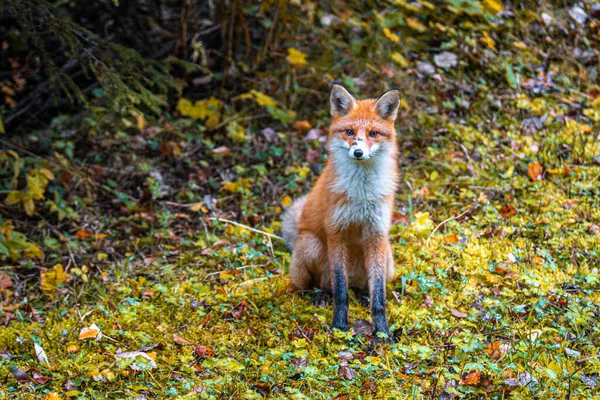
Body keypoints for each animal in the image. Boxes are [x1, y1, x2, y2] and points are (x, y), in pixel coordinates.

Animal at [282, 84, 398, 340]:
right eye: (349, 131)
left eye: (373, 134)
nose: (358, 152)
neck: (361, 194)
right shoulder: (336, 230)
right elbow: (341, 291)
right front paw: (339, 326)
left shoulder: (377, 234)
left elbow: (379, 296)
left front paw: (382, 333)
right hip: (310, 245)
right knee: (314, 287)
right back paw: (319, 295)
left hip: (388, 258)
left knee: (362, 286)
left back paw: (362, 293)